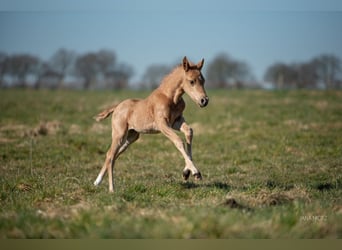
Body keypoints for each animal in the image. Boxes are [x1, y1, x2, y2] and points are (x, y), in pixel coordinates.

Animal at [95, 56, 210, 192]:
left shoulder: (176, 121)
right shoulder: (162, 124)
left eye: (203, 80)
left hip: (131, 137)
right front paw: (196, 173)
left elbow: (189, 132)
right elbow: (178, 141)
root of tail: (117, 107)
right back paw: (111, 189)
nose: (204, 101)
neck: (171, 98)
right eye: (191, 81)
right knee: (111, 154)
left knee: (113, 155)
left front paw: (186, 173)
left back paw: (97, 181)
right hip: (119, 134)